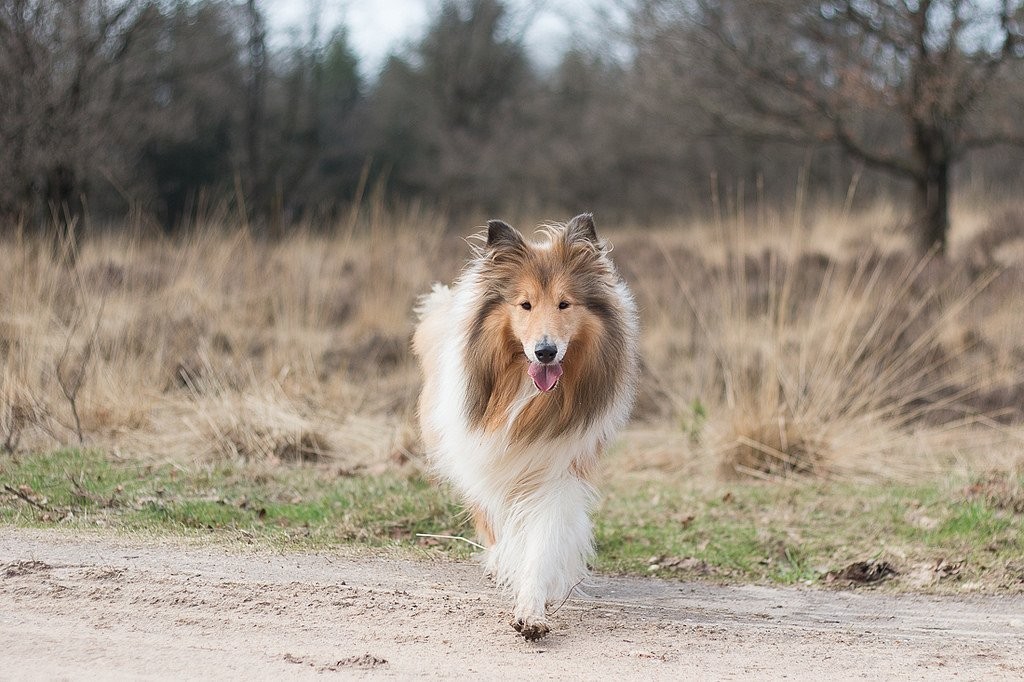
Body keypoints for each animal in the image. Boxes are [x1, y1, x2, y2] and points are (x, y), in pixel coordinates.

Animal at [409, 210, 634, 638]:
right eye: (525, 304)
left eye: (564, 304)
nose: (545, 352)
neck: (528, 399)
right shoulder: (484, 456)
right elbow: (502, 523)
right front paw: (509, 568)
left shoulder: (558, 470)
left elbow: (542, 543)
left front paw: (532, 609)